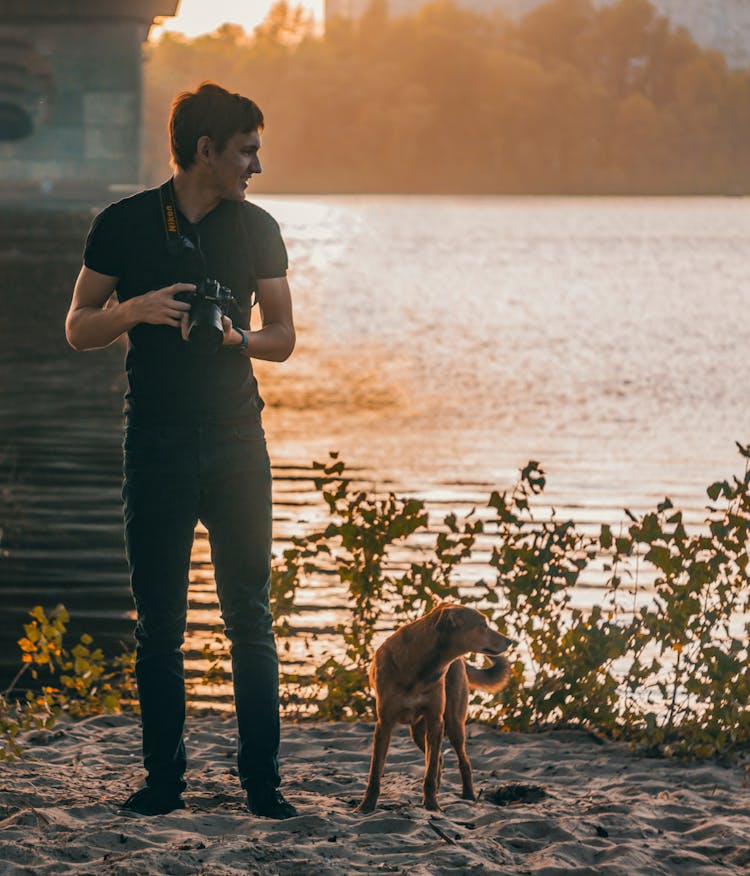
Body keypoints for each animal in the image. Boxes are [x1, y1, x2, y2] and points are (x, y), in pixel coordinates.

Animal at [356, 604, 512, 816]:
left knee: (462, 761)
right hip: (418, 732)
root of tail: (459, 660)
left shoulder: (436, 720)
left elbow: (429, 772)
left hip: (453, 724)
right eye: (483, 626)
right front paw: (366, 806)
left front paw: (432, 806)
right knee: (438, 759)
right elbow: (375, 773)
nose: (510, 641)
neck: (421, 667)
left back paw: (468, 794)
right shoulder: (384, 724)